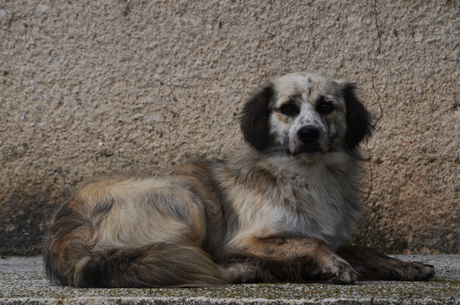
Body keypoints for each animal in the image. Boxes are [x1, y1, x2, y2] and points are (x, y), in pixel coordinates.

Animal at [44, 72, 434, 286]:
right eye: (288, 109)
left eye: (326, 106)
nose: (308, 134)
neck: (307, 177)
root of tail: (64, 235)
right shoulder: (244, 239)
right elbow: (310, 242)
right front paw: (332, 265)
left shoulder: (333, 234)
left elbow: (363, 248)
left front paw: (405, 266)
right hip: (187, 200)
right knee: (190, 262)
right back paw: (251, 271)